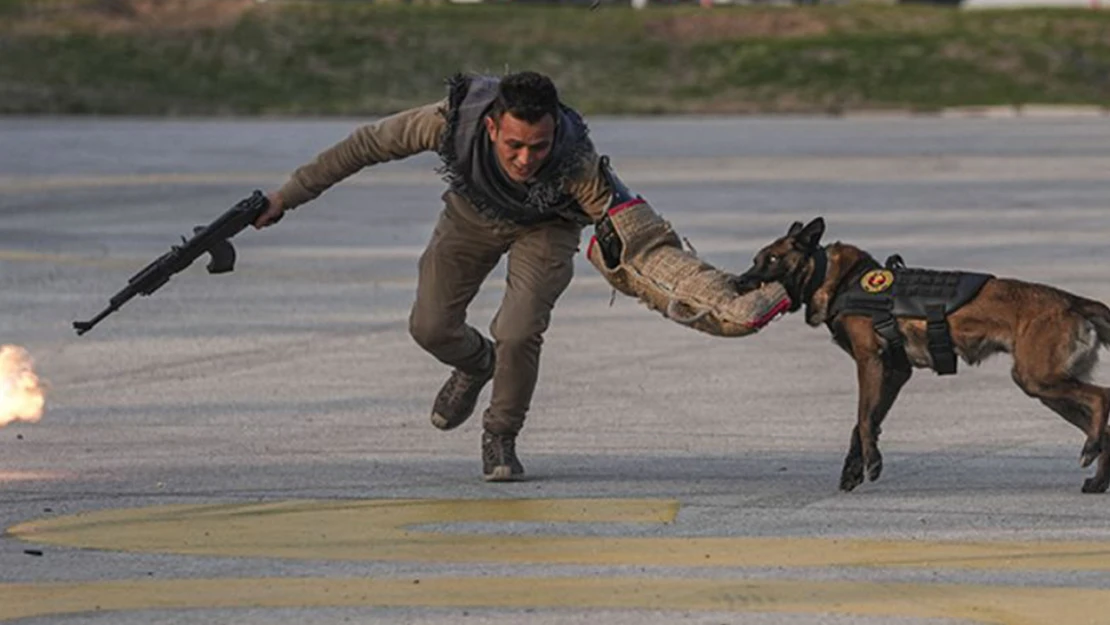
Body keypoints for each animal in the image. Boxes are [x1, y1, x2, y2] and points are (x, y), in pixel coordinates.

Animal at [737, 218, 1110, 495]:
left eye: (771, 259)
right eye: (755, 260)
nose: (739, 282)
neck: (840, 280)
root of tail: (1071, 300)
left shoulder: (870, 362)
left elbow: (863, 418)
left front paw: (872, 463)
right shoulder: (895, 372)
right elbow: (865, 422)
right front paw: (853, 470)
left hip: (1040, 379)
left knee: (1102, 398)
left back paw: (1090, 451)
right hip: (1045, 390)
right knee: (1103, 428)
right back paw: (1097, 480)